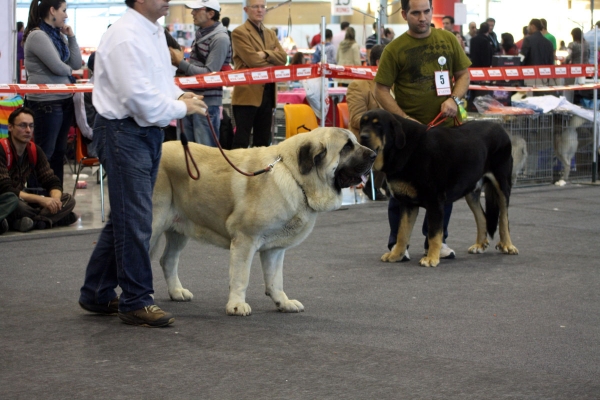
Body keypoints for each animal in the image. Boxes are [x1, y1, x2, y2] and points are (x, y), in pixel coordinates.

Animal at [150, 127, 376, 316]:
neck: (295, 176)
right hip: (154, 224)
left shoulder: (274, 249)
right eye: (347, 147)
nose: (374, 154)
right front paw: (236, 305)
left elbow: (275, 279)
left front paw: (283, 302)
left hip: (179, 230)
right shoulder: (245, 239)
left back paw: (176, 291)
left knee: (168, 260)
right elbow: (241, 276)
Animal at [358, 108, 516, 268]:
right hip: (471, 191)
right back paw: (479, 245)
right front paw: (396, 255)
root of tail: (499, 127)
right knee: (482, 216)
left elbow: (433, 234)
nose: (362, 136)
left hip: (502, 184)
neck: (408, 149)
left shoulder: (435, 201)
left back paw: (508, 245)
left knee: (504, 217)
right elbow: (402, 232)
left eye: (378, 125)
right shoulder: (407, 203)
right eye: (362, 124)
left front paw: (431, 258)